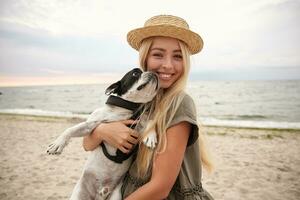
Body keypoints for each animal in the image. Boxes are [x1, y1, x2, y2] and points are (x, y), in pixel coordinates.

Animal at [46, 68, 159, 199]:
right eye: (135, 73)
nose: (153, 72)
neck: (128, 110)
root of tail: (101, 192)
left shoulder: (137, 127)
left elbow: (149, 120)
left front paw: (151, 136)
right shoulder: (91, 125)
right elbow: (71, 129)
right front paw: (57, 144)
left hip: (115, 195)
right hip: (79, 194)